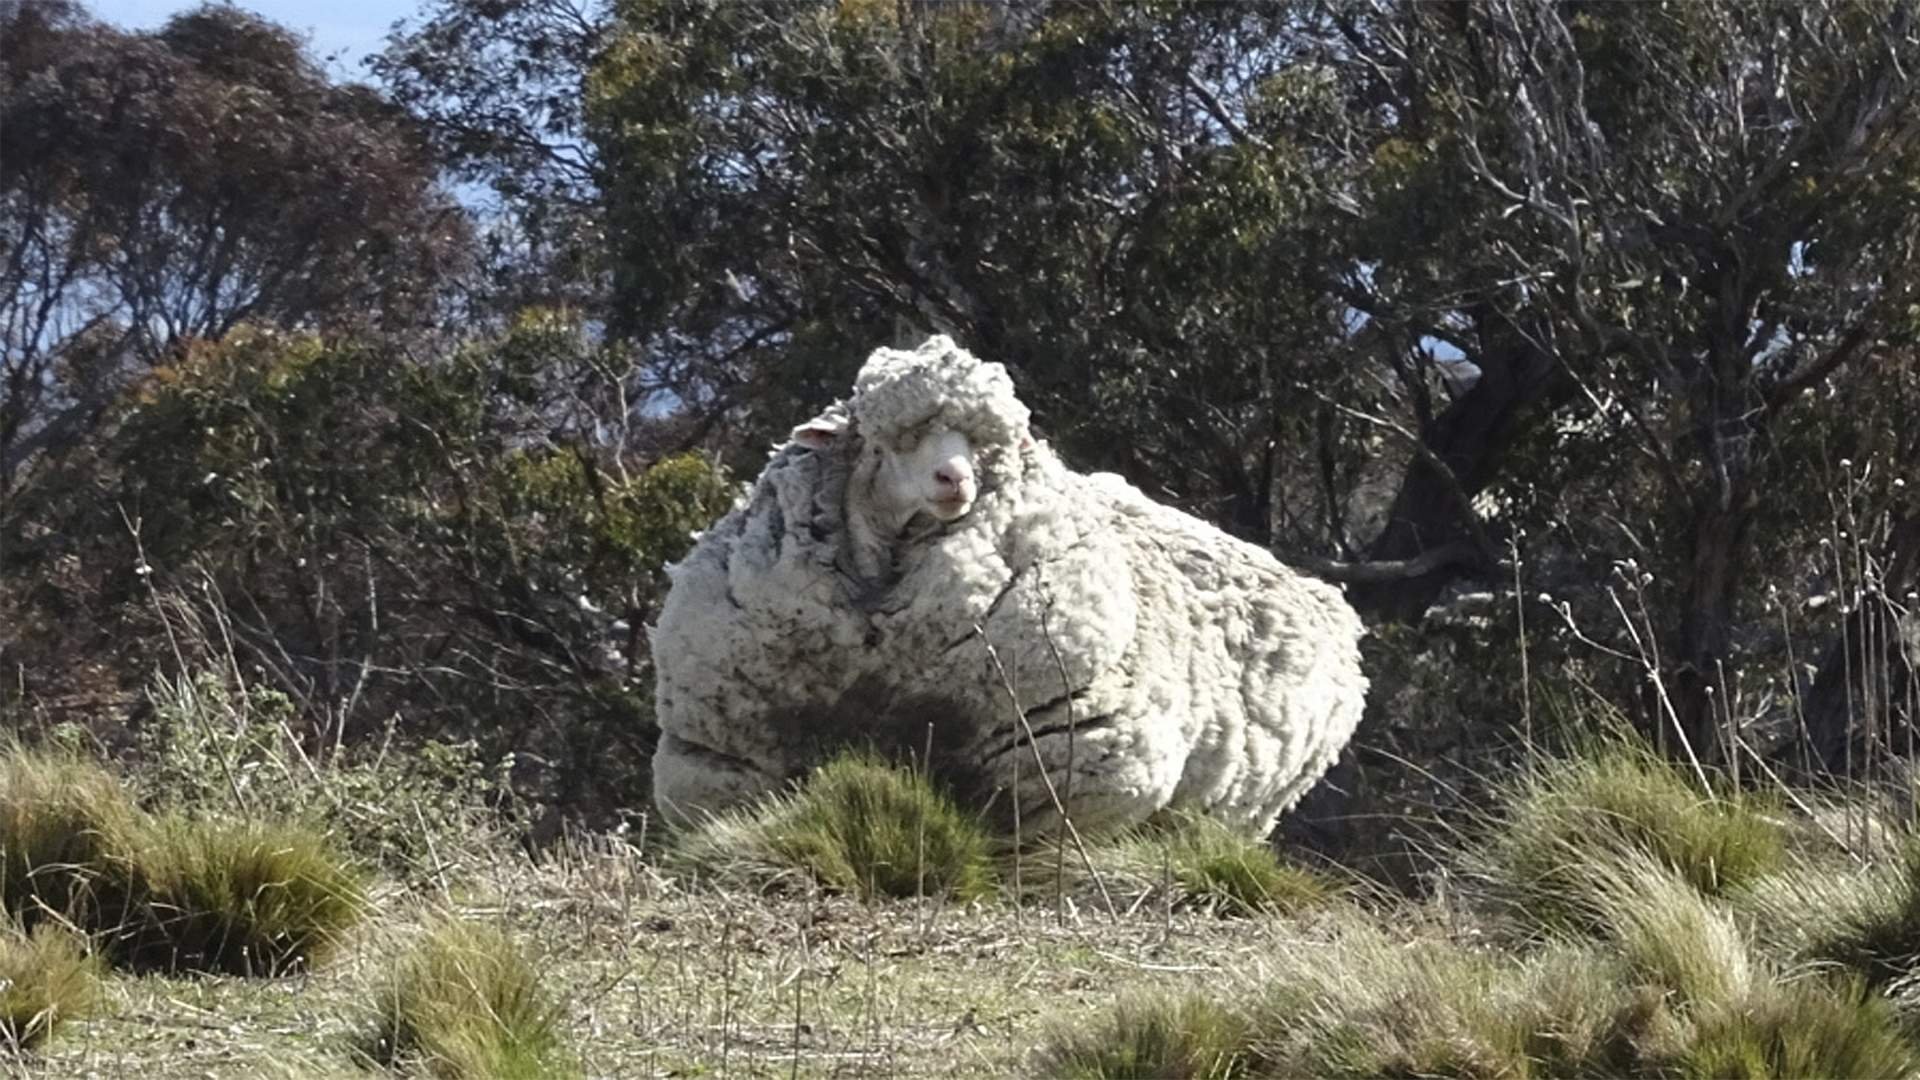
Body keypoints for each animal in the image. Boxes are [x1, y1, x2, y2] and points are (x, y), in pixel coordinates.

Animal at [648, 332, 1367, 837]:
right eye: (886, 440)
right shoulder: (727, 759)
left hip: (1238, 810)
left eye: (984, 445)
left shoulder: (1062, 765)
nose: (954, 481)